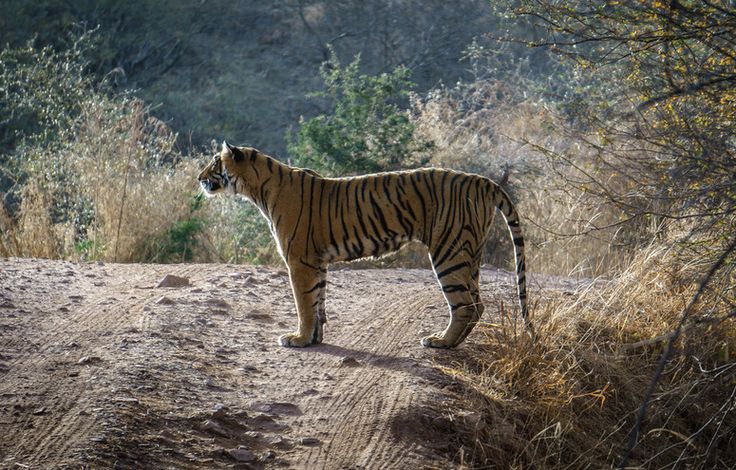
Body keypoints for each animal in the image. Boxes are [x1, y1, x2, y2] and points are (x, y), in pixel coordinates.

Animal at [196, 141, 528, 346]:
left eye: (214, 163)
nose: (199, 177)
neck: (258, 189)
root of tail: (480, 180)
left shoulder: (300, 260)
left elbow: (304, 304)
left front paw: (298, 339)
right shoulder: (316, 262)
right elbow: (318, 302)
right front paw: (313, 339)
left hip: (449, 251)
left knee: (465, 305)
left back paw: (441, 342)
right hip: (470, 253)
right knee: (478, 303)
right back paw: (451, 343)